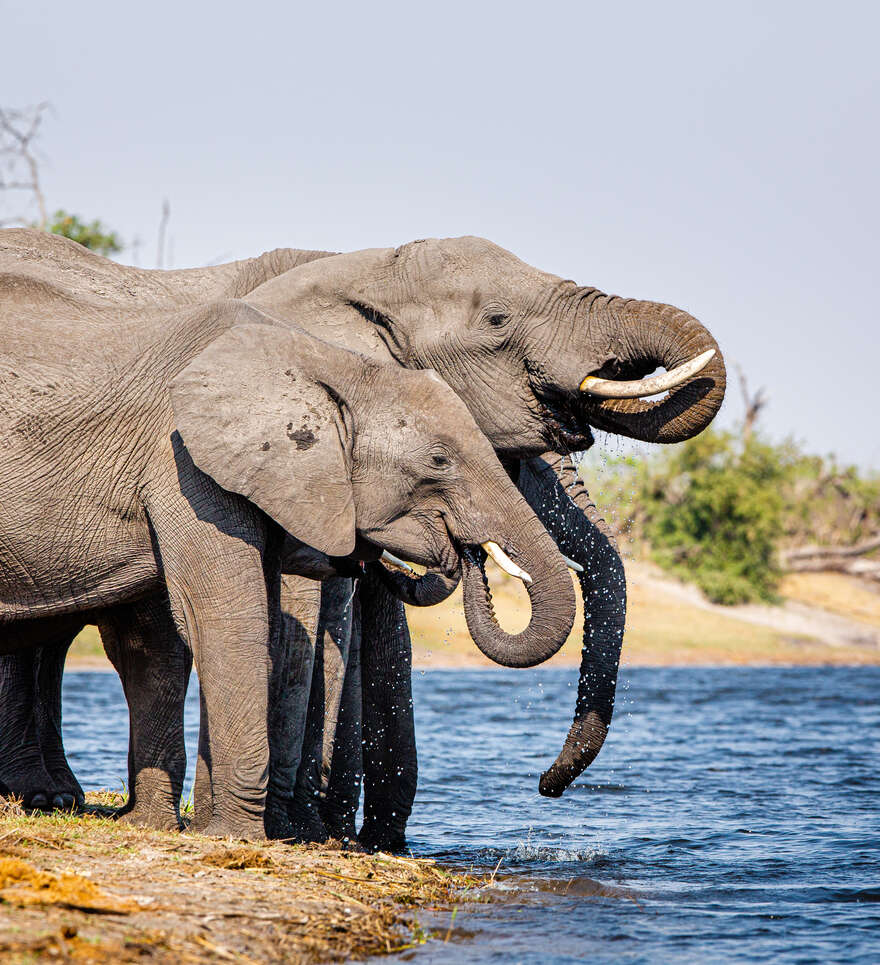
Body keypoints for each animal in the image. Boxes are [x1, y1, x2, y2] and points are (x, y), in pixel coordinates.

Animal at [0, 294, 576, 836]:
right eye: (439, 459)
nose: (546, 785)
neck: (330, 365)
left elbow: (262, 627)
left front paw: (209, 828)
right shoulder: (181, 462)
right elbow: (228, 620)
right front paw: (235, 834)